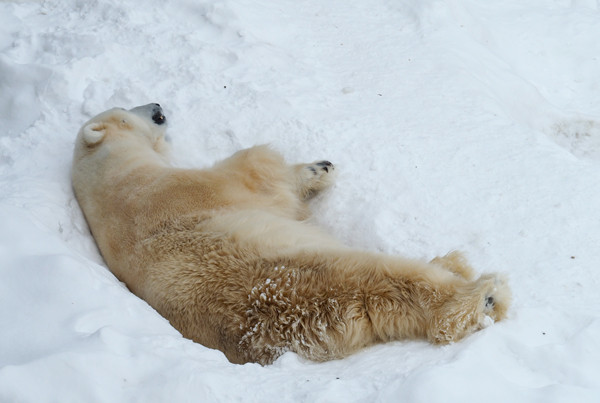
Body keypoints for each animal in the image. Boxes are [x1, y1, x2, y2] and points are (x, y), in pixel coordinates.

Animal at [71, 104, 510, 366]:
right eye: (127, 109)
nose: (158, 106)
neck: (112, 182)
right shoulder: (188, 187)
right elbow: (258, 170)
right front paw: (319, 168)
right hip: (321, 268)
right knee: (397, 279)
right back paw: (481, 291)